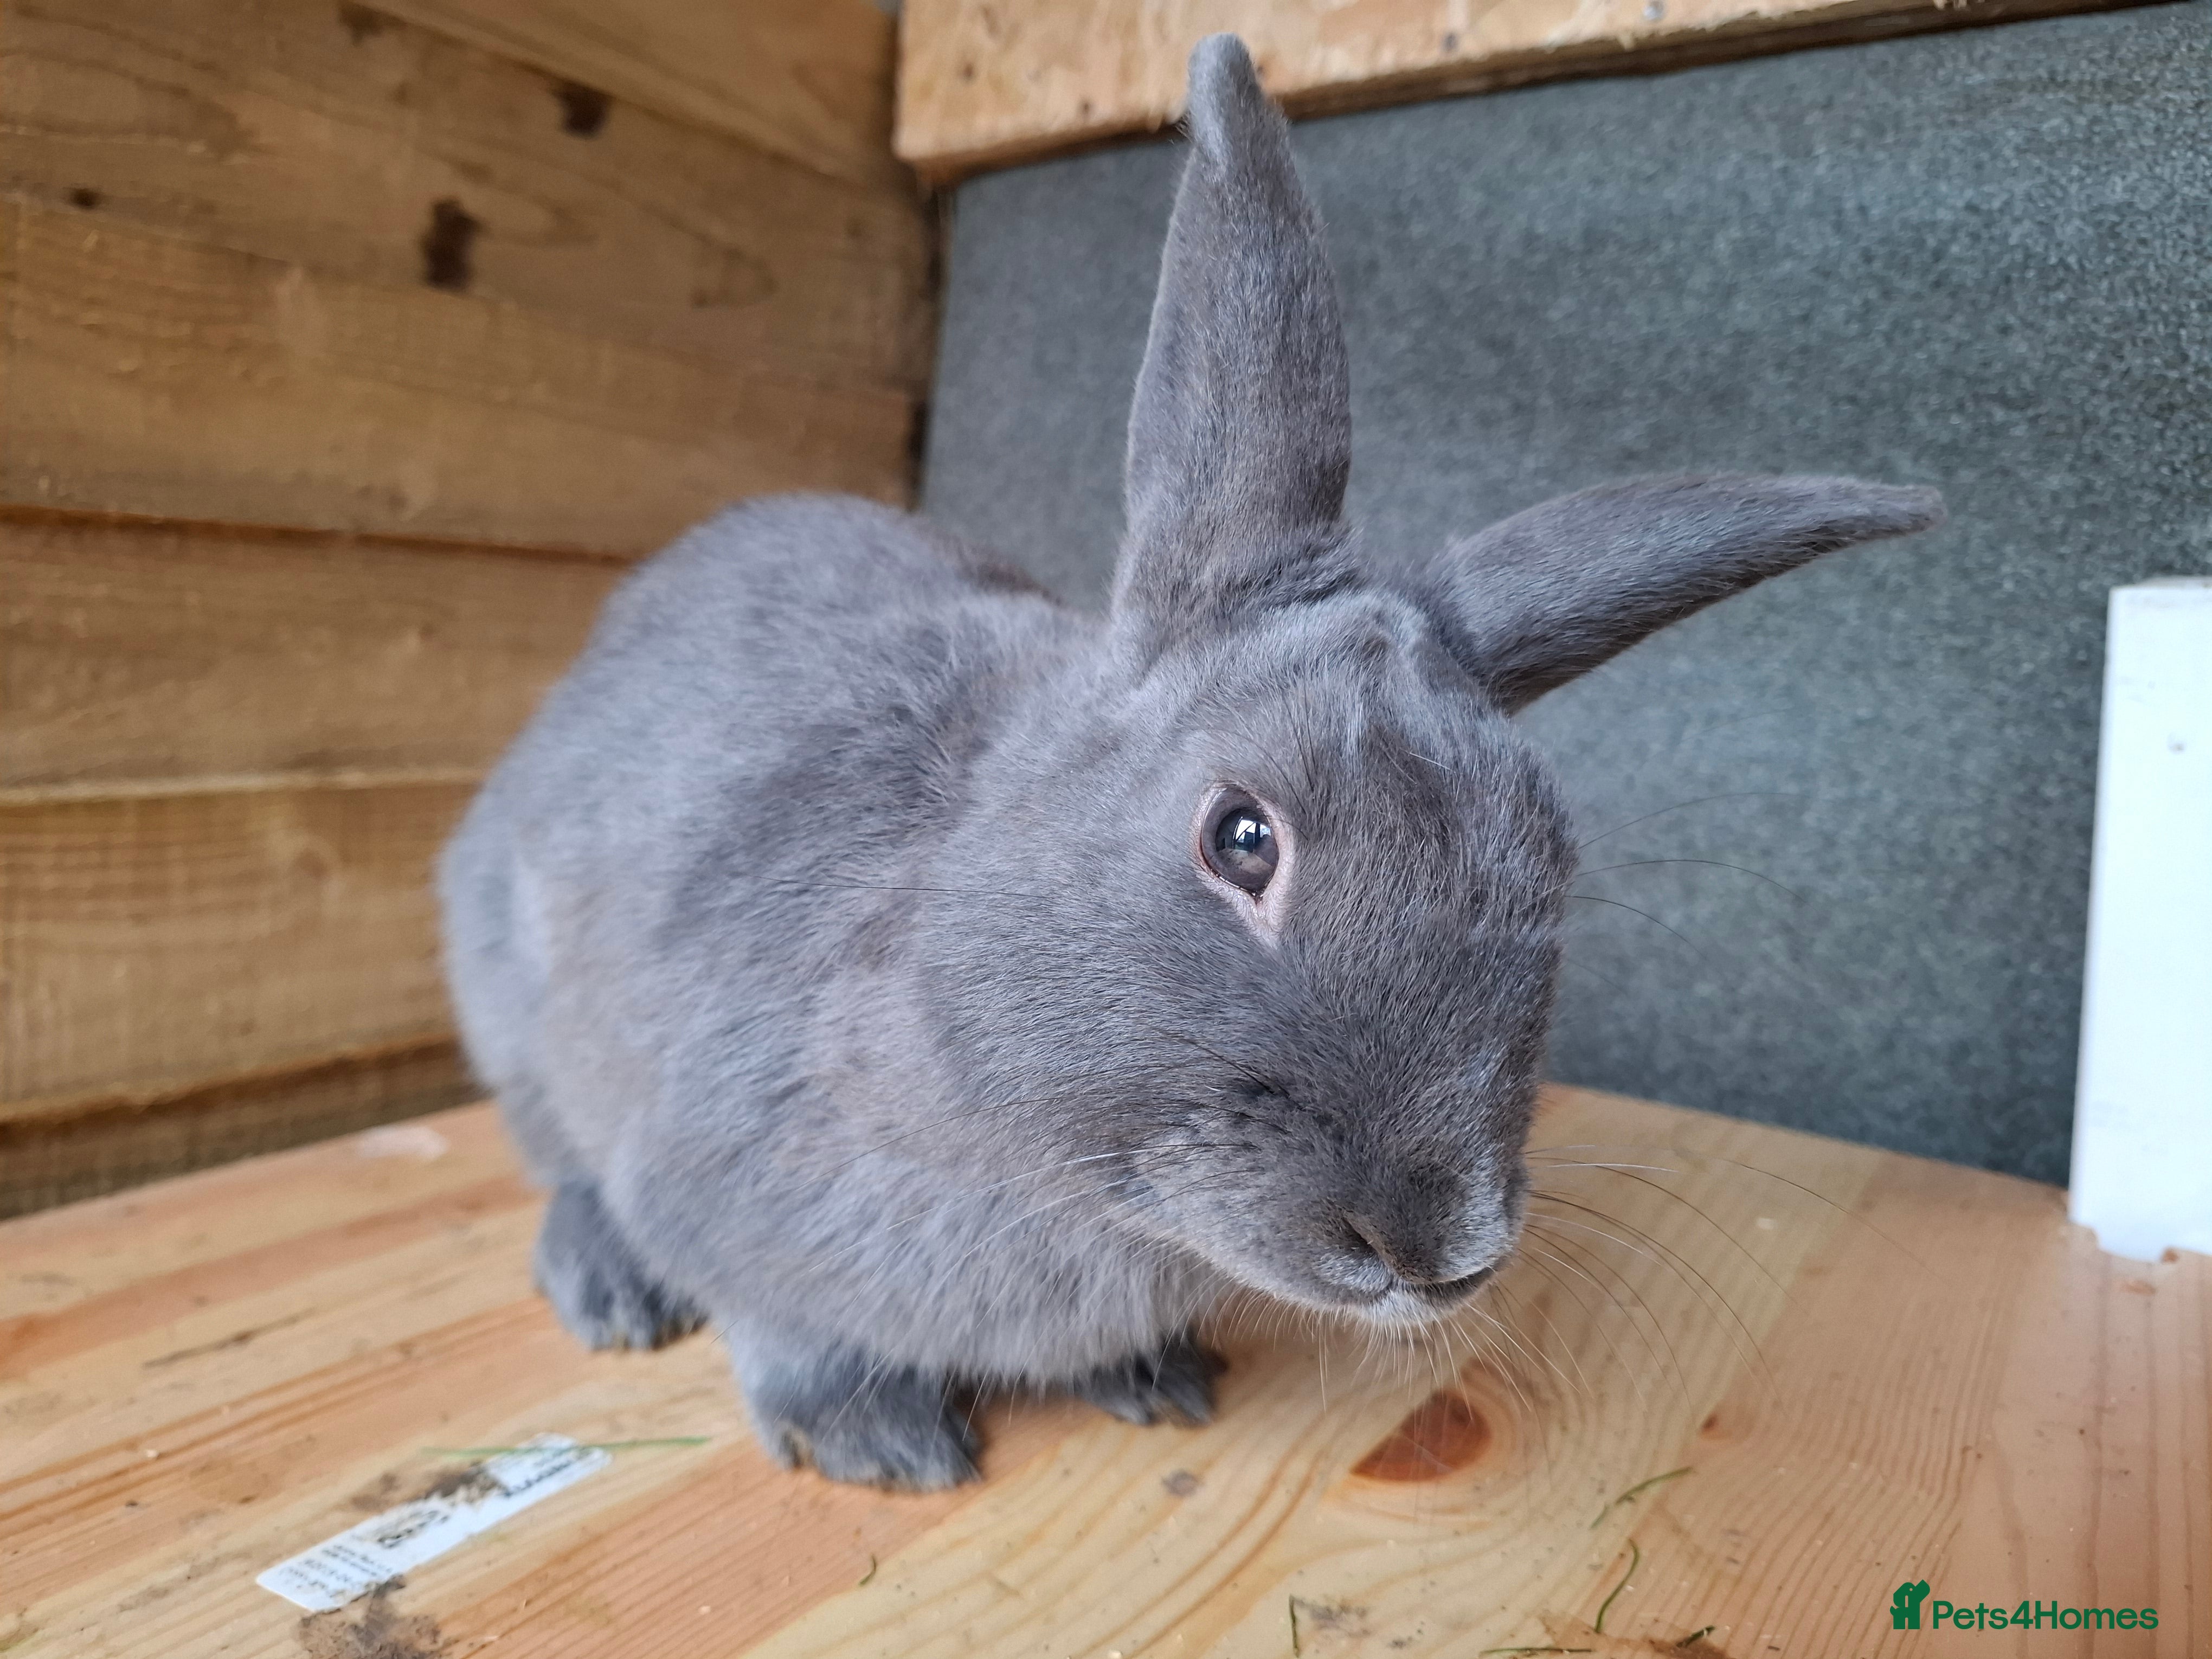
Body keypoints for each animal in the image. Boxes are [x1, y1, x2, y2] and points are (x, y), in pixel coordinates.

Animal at [437, 33, 1944, 1491]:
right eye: (1241, 838)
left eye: (1552, 869)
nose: (1436, 1248)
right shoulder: (712, 1171)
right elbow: (781, 1321)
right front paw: (875, 1447)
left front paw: (1153, 1382)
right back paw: (614, 1294)